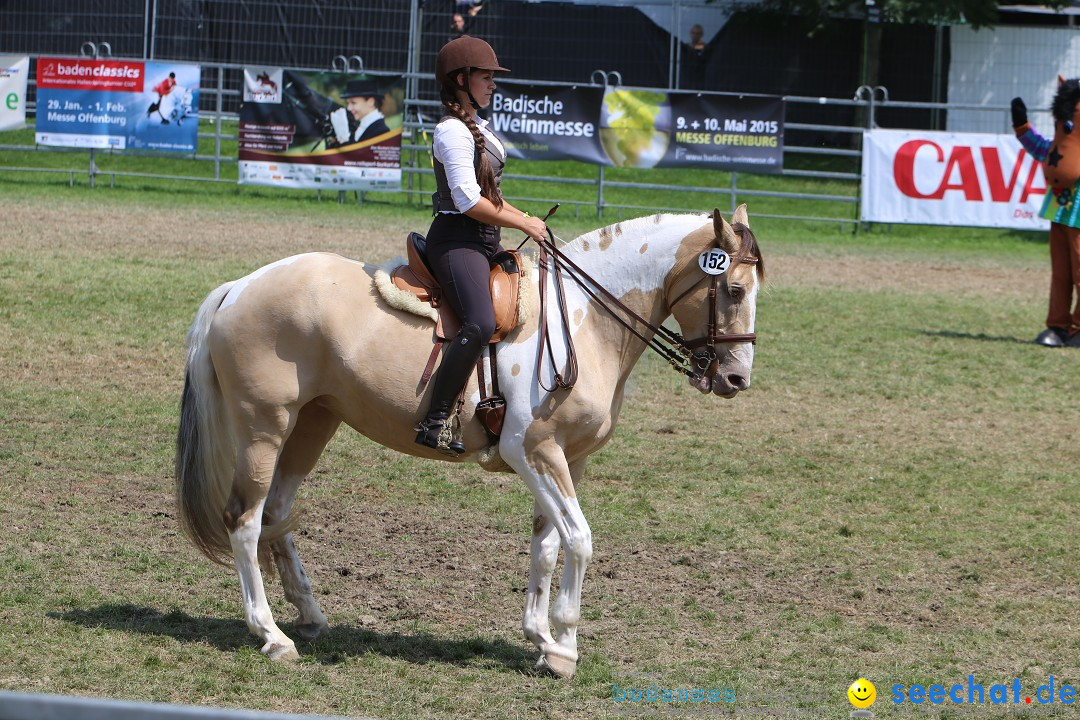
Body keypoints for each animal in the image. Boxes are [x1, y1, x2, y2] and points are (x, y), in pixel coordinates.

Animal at [172, 205, 764, 677]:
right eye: (734, 290)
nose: (736, 378)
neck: (582, 319)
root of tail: (239, 287)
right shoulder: (532, 452)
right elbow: (579, 540)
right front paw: (565, 650)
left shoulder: (567, 460)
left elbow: (547, 547)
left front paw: (543, 640)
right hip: (264, 429)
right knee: (245, 522)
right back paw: (272, 635)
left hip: (314, 424)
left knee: (276, 514)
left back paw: (311, 617)